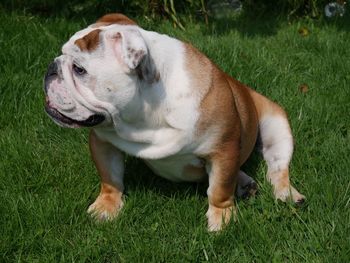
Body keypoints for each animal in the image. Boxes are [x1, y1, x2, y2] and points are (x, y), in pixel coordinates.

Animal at [43, 13, 304, 232]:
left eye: (79, 69)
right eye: (61, 55)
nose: (51, 68)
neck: (147, 114)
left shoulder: (223, 150)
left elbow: (219, 189)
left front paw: (221, 219)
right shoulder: (103, 140)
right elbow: (110, 177)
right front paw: (106, 206)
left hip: (277, 126)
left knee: (277, 168)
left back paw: (288, 195)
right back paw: (245, 183)